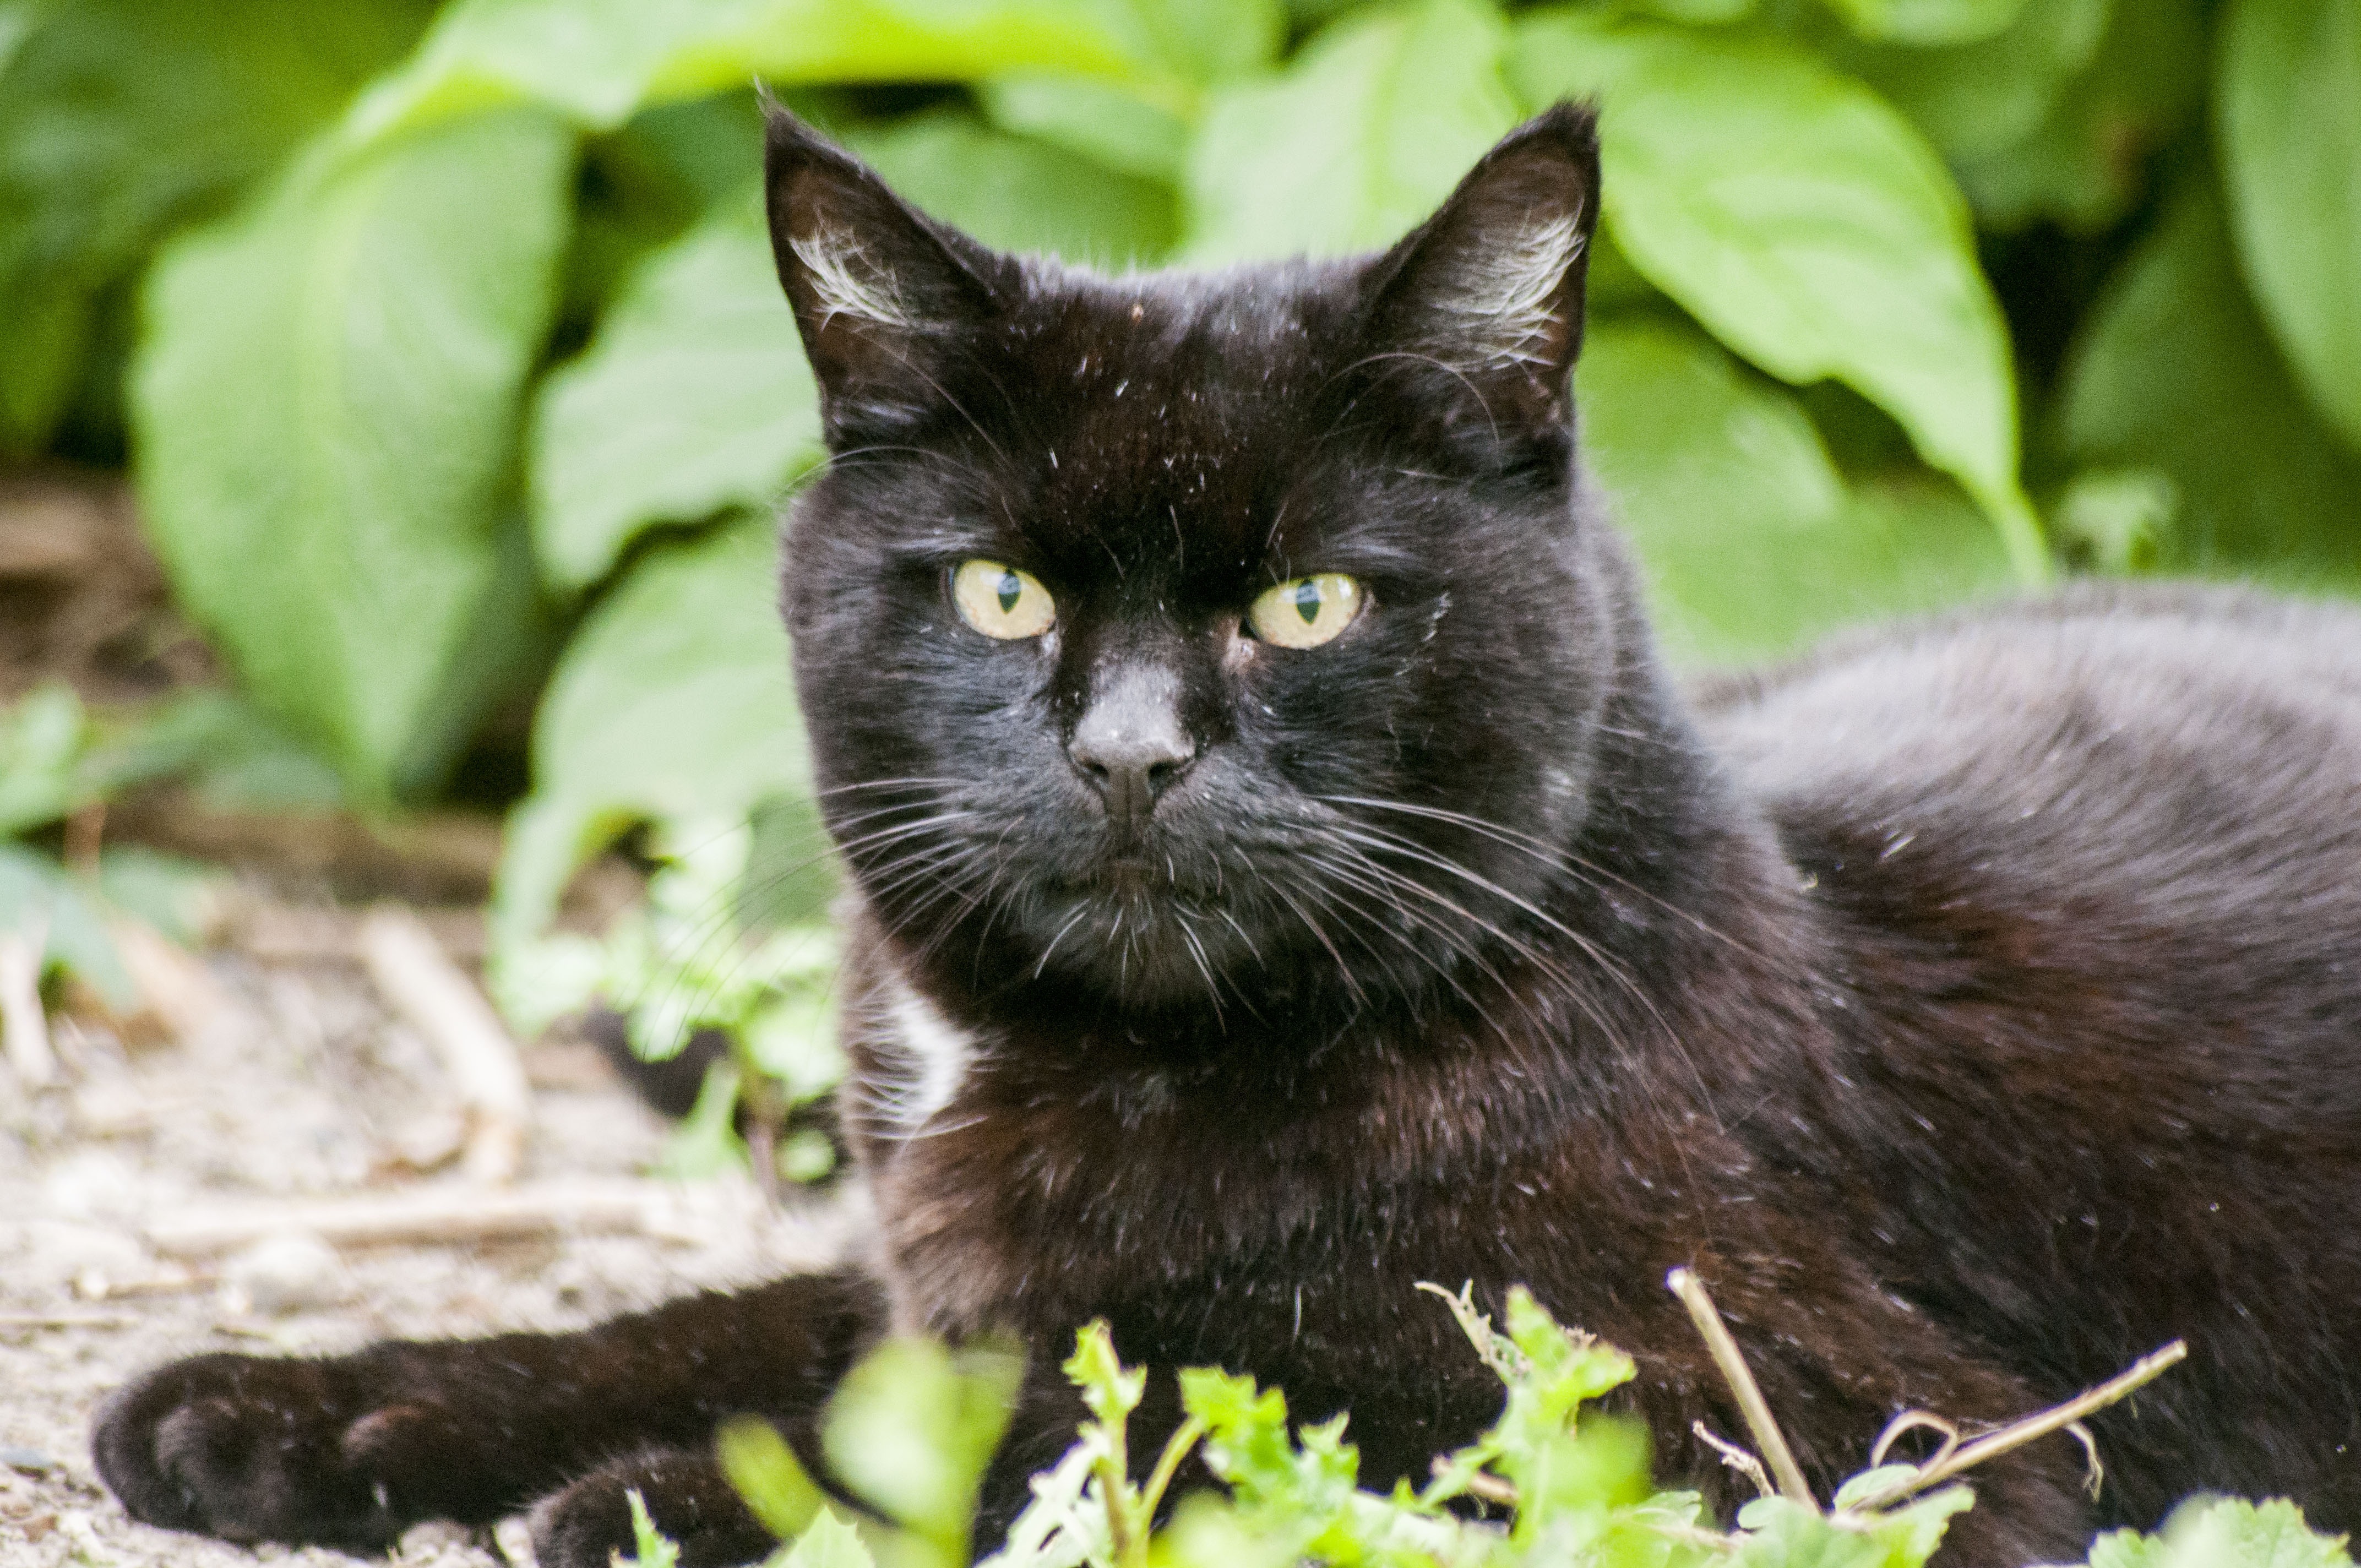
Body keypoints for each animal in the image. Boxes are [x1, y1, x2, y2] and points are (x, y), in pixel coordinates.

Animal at [92, 104, 2361, 1558]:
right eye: (1001, 591)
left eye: (1306, 605)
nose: (1128, 755)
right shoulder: (940, 1272)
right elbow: (721, 1332)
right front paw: (293, 1400)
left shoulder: (1832, 1426)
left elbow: (1163, 1407)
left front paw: (665, 1499)